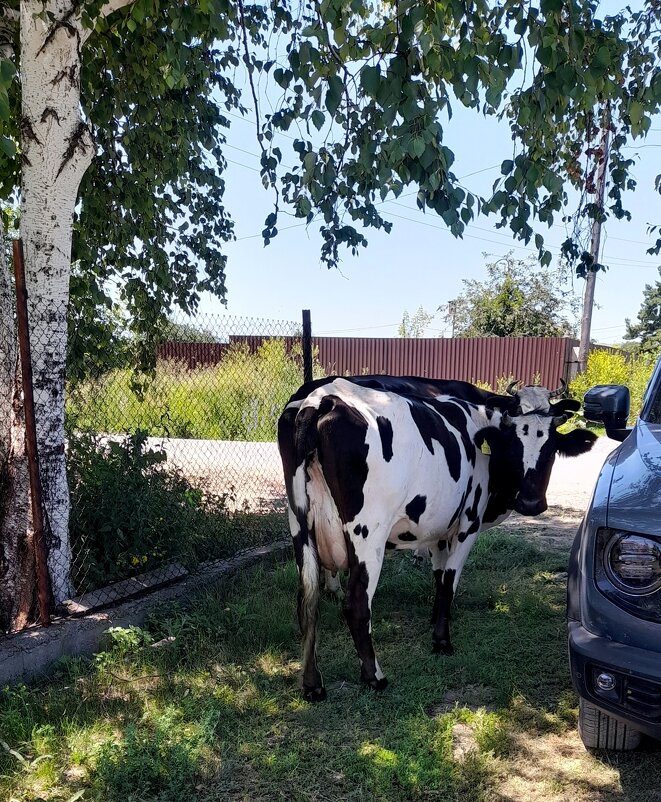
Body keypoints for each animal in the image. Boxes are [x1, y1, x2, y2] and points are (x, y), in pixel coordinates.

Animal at [276, 374, 596, 692]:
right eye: (513, 445)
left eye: (552, 448)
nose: (530, 503)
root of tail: (322, 398)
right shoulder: (468, 523)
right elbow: (449, 582)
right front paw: (441, 640)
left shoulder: (438, 528)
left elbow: (440, 577)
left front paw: (435, 619)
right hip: (368, 533)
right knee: (356, 604)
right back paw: (374, 676)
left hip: (299, 524)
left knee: (306, 599)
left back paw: (312, 684)